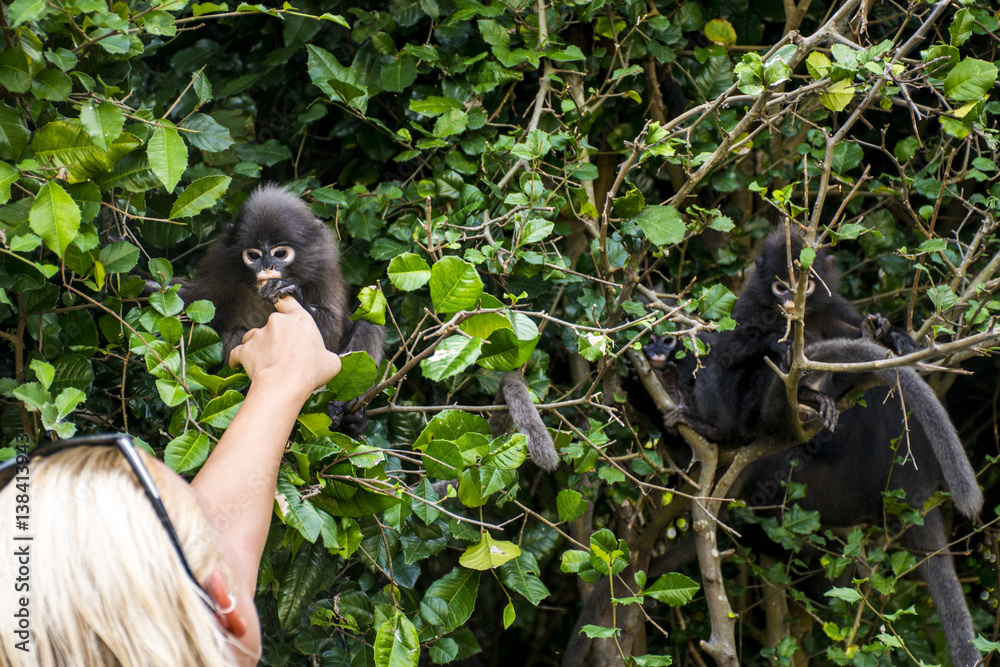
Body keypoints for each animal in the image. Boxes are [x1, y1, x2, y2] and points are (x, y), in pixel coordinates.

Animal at [182, 185, 384, 437]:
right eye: (253, 255)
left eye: (280, 254)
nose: (267, 266)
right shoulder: (219, 263)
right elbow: (191, 297)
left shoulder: (325, 266)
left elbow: (331, 330)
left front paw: (294, 294)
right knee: (237, 333)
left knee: (368, 326)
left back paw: (349, 415)